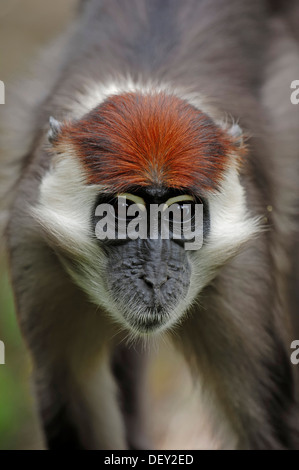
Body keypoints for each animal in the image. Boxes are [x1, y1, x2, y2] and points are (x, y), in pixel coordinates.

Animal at [0, 0, 299, 450]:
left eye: (181, 214)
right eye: (127, 214)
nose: (156, 277)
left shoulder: (242, 276)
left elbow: (264, 424)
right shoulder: (34, 246)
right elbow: (73, 400)